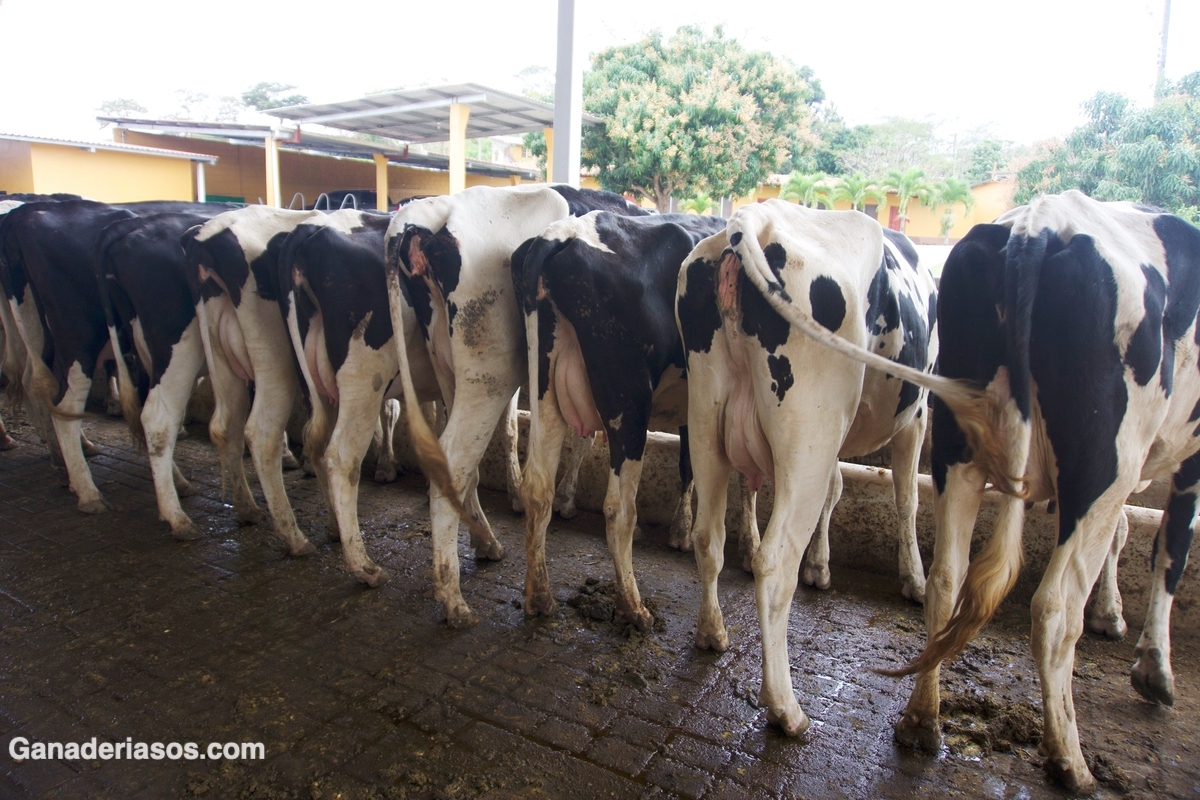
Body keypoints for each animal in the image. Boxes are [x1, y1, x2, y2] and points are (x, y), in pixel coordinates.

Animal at [96, 211, 220, 537]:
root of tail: (132, 225)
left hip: (149, 354)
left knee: (153, 414)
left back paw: (178, 484)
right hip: (178, 348)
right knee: (158, 419)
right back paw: (176, 517)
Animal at [381, 183, 648, 623]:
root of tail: (434, 212)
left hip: (450, 367)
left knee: (459, 464)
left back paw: (486, 543)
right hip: (490, 374)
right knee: (452, 459)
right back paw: (454, 598)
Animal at [511, 209, 734, 628]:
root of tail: (563, 233)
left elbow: (687, 464)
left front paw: (679, 529)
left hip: (545, 383)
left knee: (536, 489)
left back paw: (540, 596)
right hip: (629, 399)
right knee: (618, 509)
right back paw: (633, 607)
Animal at [676, 201, 993, 743]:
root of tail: (753, 220)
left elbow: (837, 487)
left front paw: (821, 567)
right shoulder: (917, 415)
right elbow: (906, 498)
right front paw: (912, 576)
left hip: (706, 415)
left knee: (708, 536)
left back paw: (713, 632)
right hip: (810, 430)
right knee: (773, 561)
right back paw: (786, 708)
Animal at [888, 189, 1200, 796]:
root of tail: (1039, 226)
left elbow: (1129, 532)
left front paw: (1114, 616)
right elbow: (1170, 549)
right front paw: (1155, 669)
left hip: (956, 443)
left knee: (946, 579)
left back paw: (921, 719)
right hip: (1104, 461)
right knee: (1053, 608)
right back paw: (1070, 760)